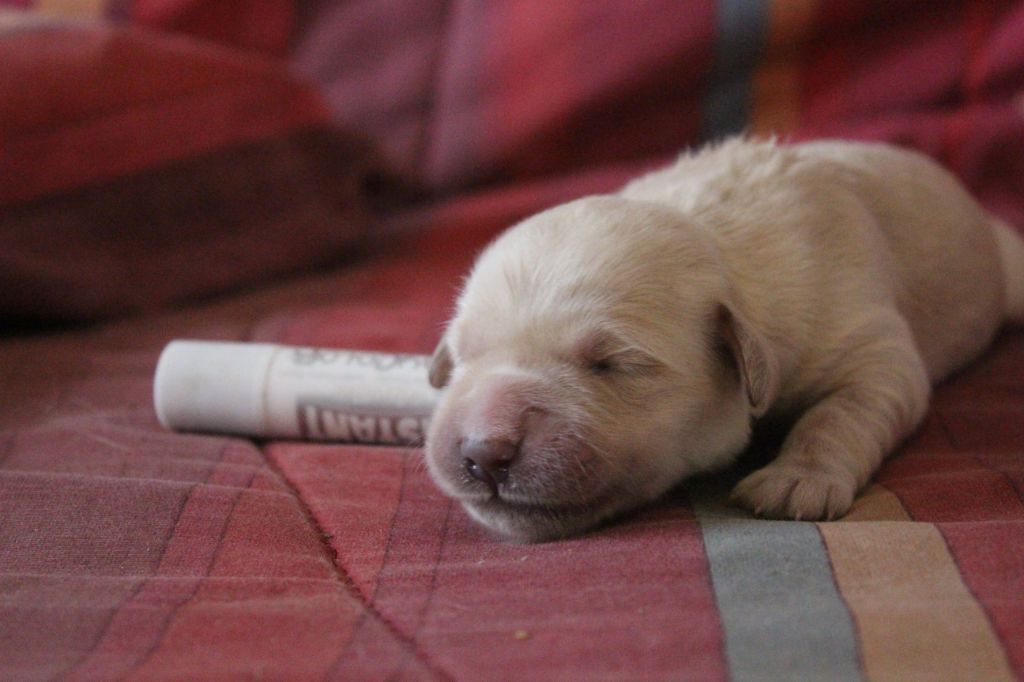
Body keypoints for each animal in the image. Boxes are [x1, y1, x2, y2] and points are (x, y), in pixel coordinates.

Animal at [421, 139, 1024, 540]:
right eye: (464, 359)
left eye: (612, 364)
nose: (484, 452)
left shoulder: (864, 337)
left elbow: (844, 408)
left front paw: (796, 480)